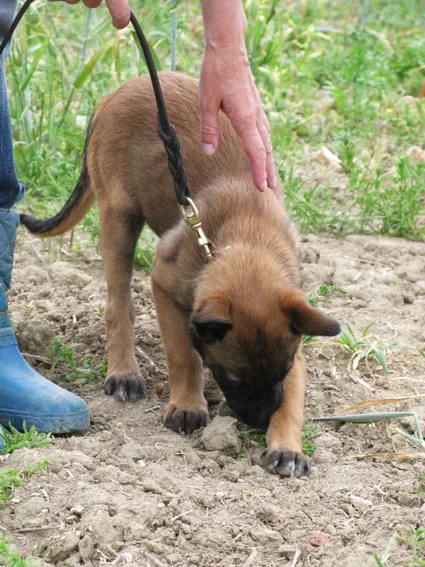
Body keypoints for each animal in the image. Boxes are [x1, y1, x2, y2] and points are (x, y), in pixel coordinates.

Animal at [19, 72, 340, 480]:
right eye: (231, 379)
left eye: (280, 374)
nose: (256, 423)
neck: (243, 238)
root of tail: (122, 89)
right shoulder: (166, 287)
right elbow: (184, 355)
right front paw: (188, 405)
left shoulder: (294, 332)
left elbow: (293, 400)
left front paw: (287, 446)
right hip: (119, 218)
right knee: (117, 304)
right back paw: (124, 372)